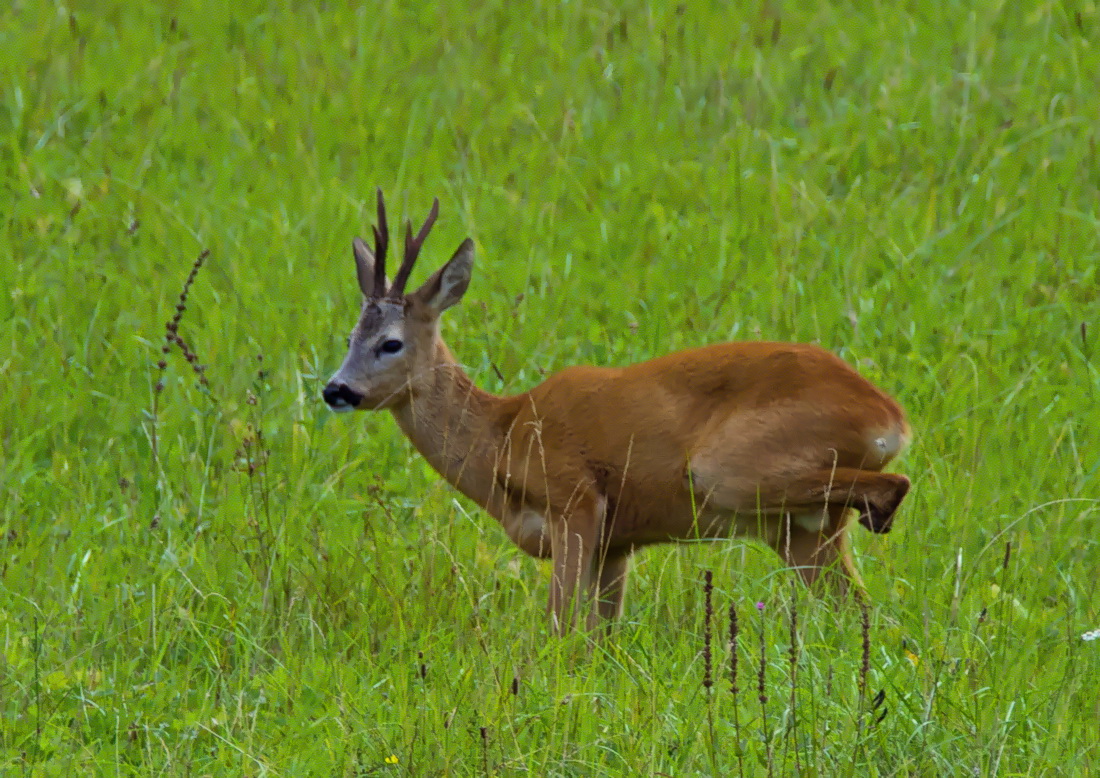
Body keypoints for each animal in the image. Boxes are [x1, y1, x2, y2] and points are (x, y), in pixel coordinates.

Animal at [323, 191, 910, 638]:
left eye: (391, 343)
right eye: (350, 337)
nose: (336, 389)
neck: (502, 434)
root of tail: (890, 418)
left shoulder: (576, 500)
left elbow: (560, 626)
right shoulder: (617, 544)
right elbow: (599, 637)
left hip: (728, 470)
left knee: (891, 486)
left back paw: (880, 516)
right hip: (800, 530)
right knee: (858, 606)